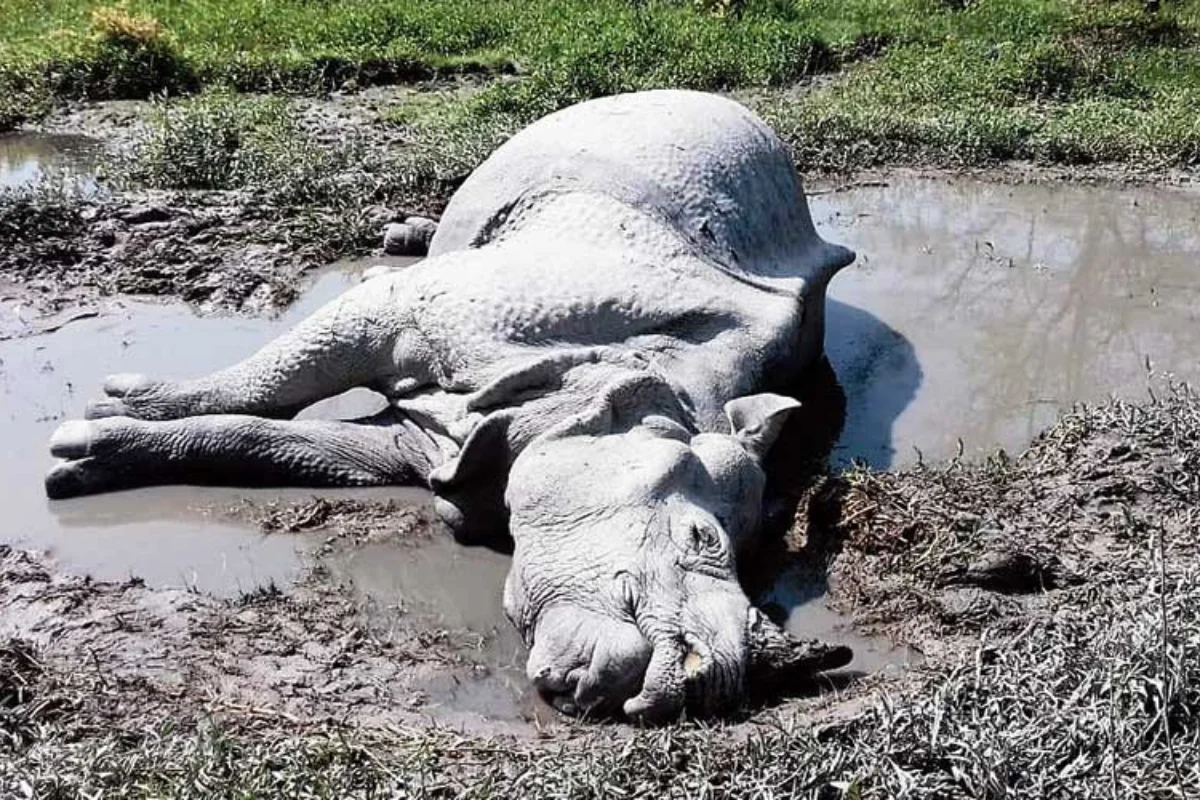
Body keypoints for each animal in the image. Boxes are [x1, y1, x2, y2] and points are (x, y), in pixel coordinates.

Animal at [45, 90, 857, 722]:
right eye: (700, 536)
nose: (706, 686)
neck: (614, 388)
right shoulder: (421, 311)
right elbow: (270, 380)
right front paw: (115, 405)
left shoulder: (431, 442)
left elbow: (274, 441)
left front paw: (85, 456)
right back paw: (399, 238)